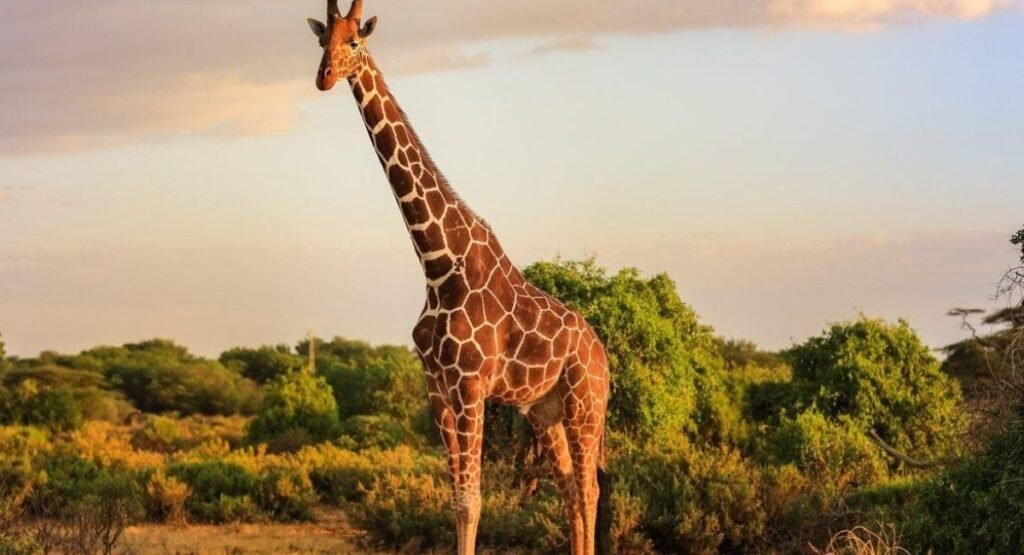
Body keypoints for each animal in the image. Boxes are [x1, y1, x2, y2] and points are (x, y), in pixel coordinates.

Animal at [306, 2, 609, 554]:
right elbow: (457, 501)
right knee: (569, 489)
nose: (325, 77)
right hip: (545, 410)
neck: (437, 262)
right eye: (322, 41)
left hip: (586, 402)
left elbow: (472, 501)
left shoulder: (470, 383)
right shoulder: (437, 386)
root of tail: (604, 355)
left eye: (355, 41)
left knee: (589, 486)